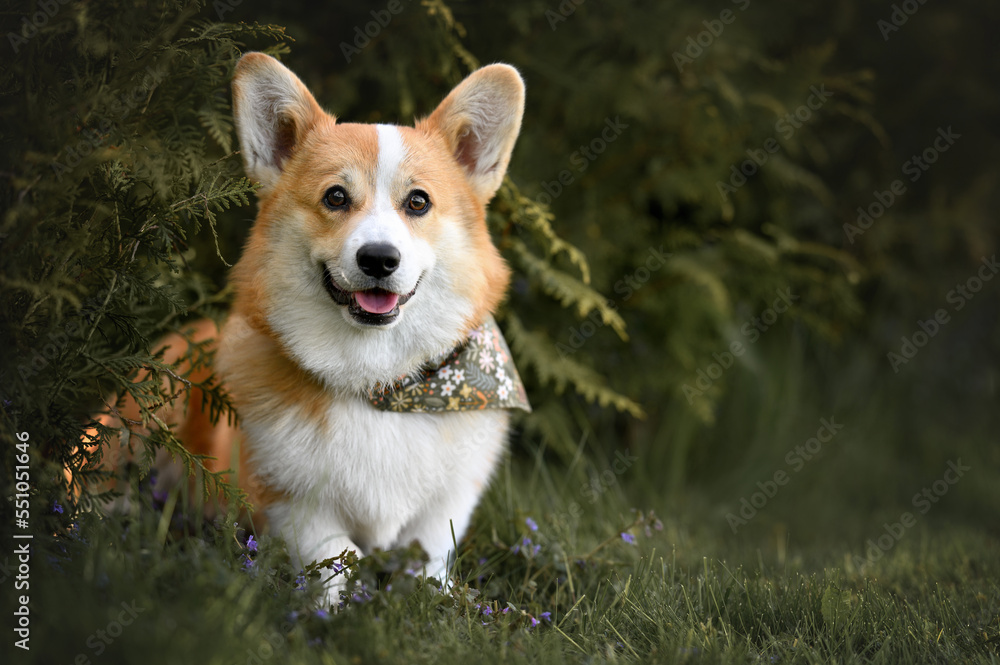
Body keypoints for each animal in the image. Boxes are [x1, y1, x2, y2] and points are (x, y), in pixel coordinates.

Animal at [86, 54, 532, 604]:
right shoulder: (293, 504)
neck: (377, 381)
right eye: (336, 197)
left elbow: (426, 559)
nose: (379, 259)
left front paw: (434, 599)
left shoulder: (443, 508)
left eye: (418, 202)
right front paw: (336, 608)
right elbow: (337, 558)